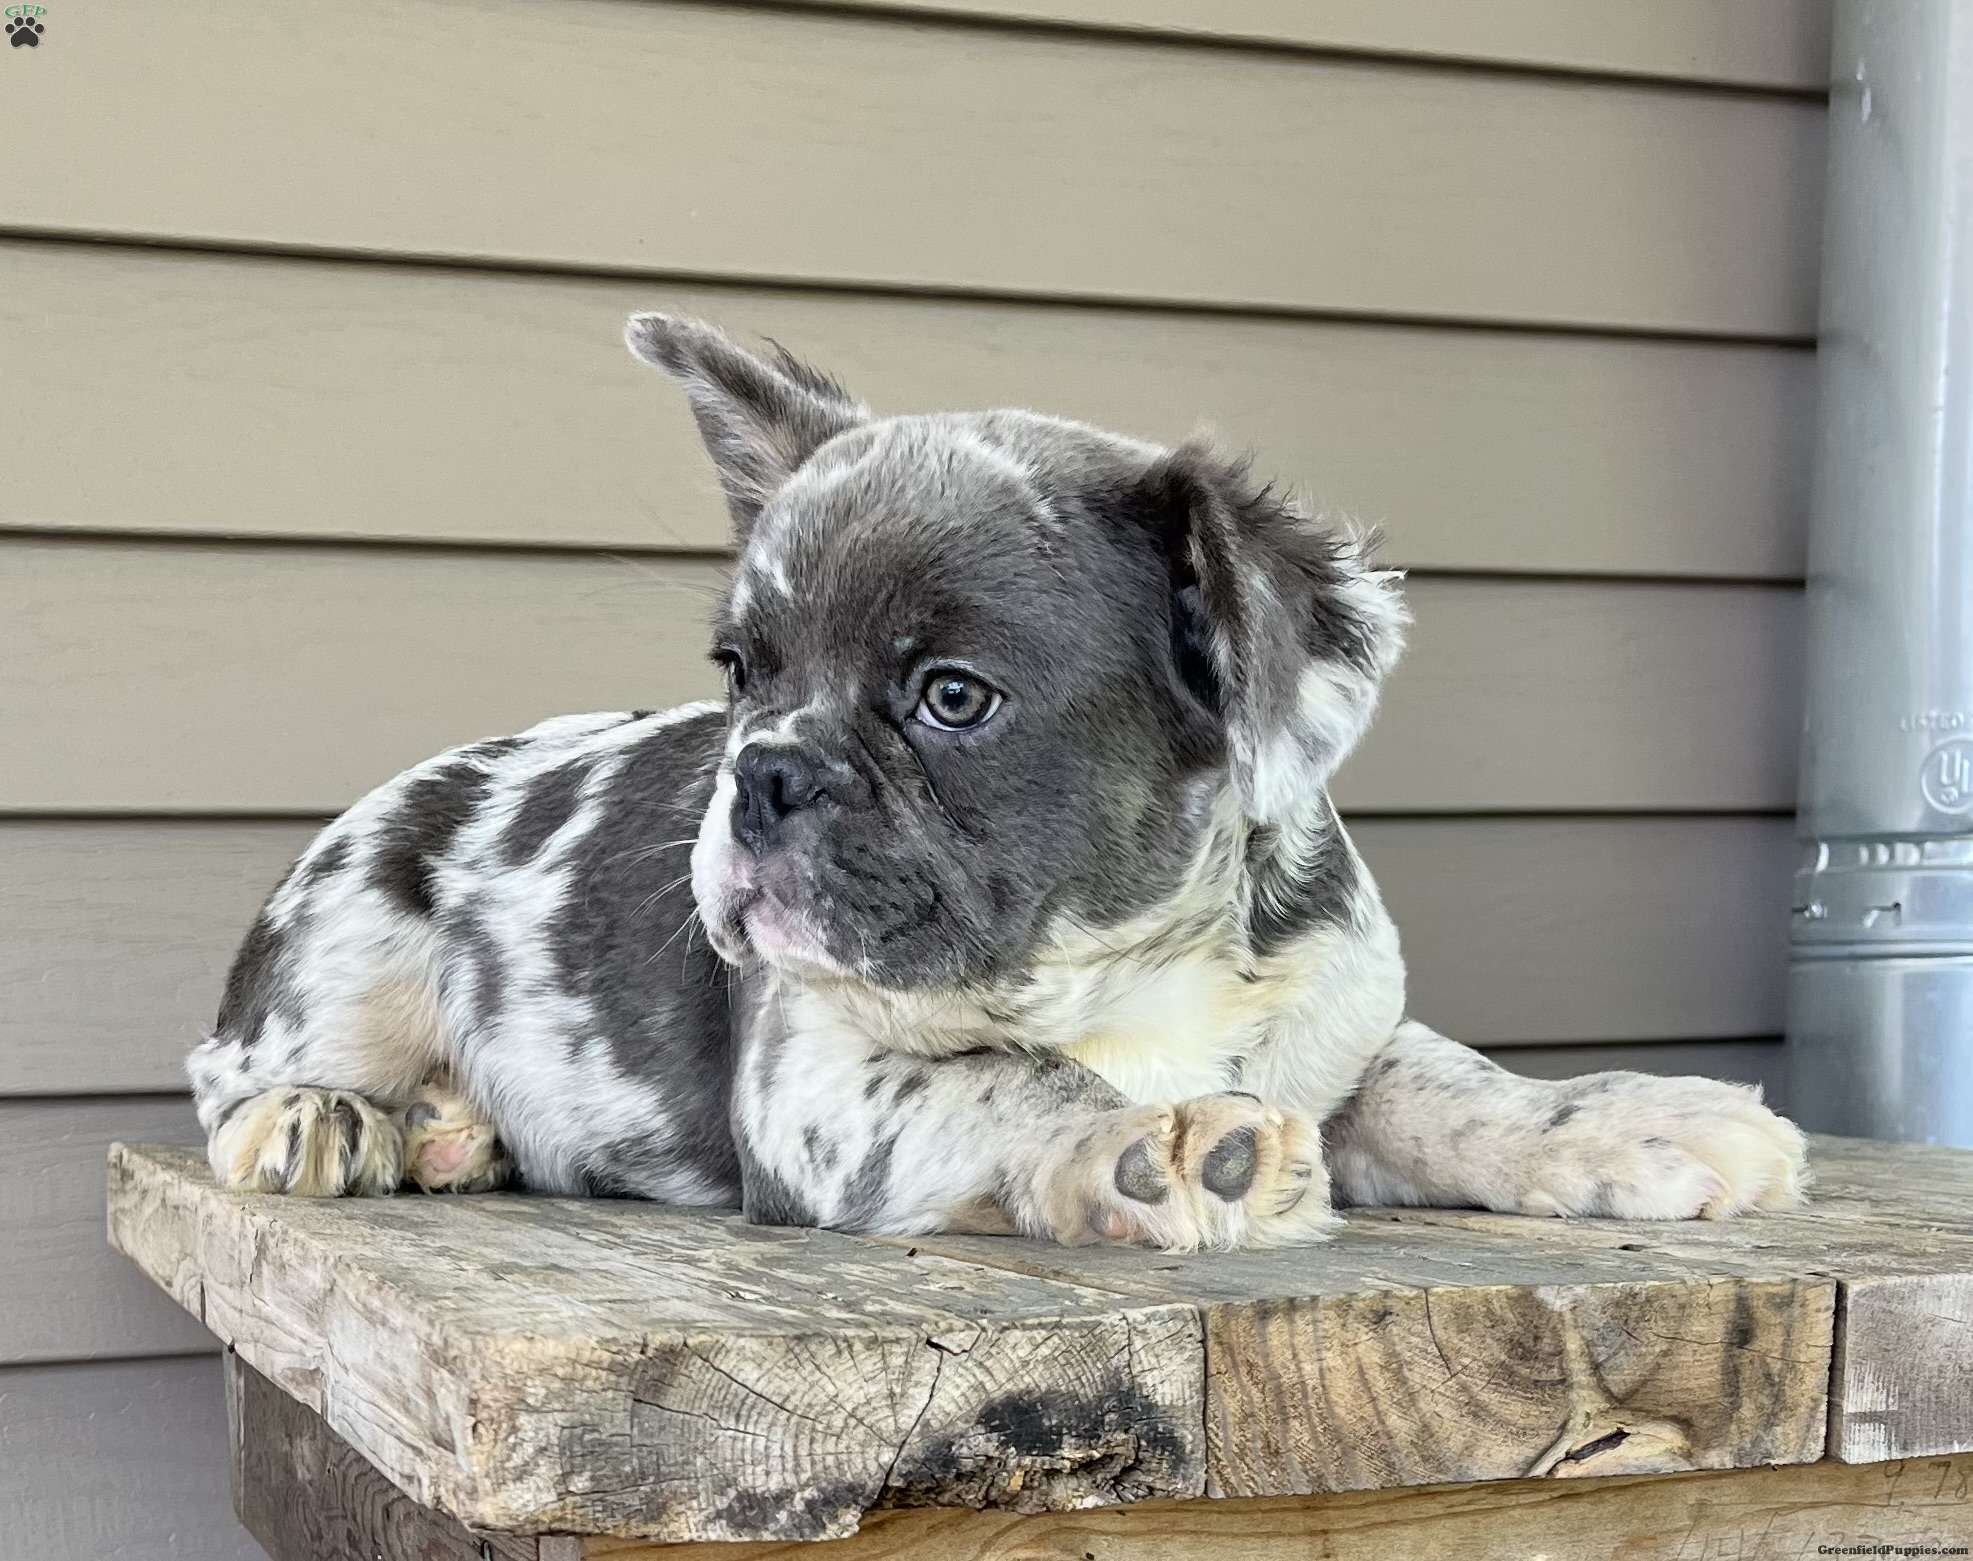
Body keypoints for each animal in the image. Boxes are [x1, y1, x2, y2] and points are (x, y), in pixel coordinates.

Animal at [186, 314, 1809, 1249]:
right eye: (741, 669)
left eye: (951, 699)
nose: (761, 772)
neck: (1116, 965)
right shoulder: (829, 1081)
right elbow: (1006, 1079)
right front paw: (1149, 1138)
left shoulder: (1333, 1031)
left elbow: (1446, 1082)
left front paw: (1628, 1120)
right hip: (354, 934)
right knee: (235, 1080)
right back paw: (338, 1119)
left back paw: (452, 1134)